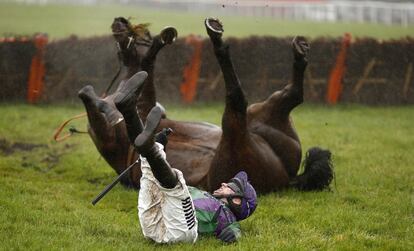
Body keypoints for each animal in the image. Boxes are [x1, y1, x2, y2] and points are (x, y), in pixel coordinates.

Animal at [80, 17, 334, 194]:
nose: (120, 21)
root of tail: (289, 178)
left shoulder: (142, 107)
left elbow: (146, 67)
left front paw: (157, 42)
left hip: (259, 128)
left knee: (282, 96)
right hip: (239, 144)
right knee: (245, 101)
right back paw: (219, 39)